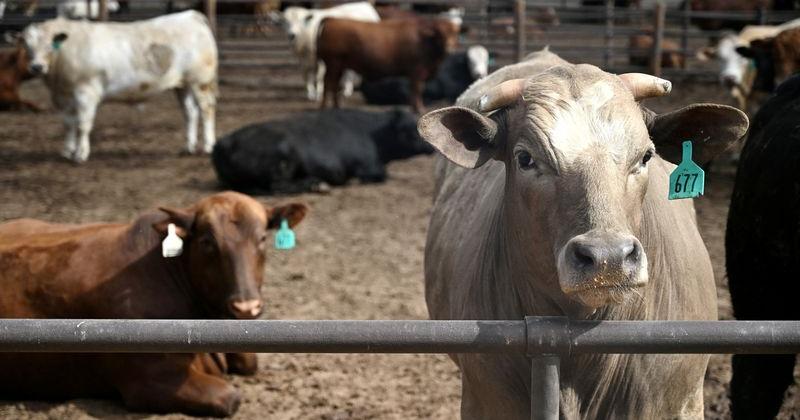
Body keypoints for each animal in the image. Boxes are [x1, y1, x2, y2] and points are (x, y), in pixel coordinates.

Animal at [18, 11, 217, 162]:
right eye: (27, 45)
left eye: (49, 44)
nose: (36, 67)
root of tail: (191, 16)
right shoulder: (62, 96)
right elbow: (68, 124)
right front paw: (67, 151)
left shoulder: (86, 92)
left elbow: (83, 124)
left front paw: (81, 154)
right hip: (182, 84)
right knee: (190, 113)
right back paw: (188, 147)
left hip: (201, 81)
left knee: (206, 109)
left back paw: (208, 146)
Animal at [212, 108, 433, 194]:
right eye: (410, 129)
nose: (431, 146)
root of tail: (223, 142)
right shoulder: (367, 166)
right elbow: (378, 175)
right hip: (283, 158)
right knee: (278, 186)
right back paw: (317, 184)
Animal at [317, 17, 460, 114]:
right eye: (440, 34)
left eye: (454, 34)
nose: (449, 47)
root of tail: (332, 19)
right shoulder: (417, 71)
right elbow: (417, 90)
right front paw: (418, 108)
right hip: (333, 63)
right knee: (328, 83)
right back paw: (324, 107)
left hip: (339, 65)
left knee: (334, 84)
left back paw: (337, 107)